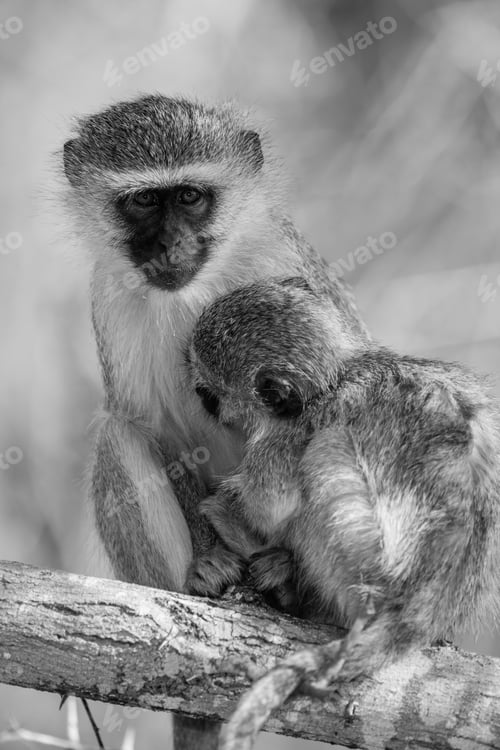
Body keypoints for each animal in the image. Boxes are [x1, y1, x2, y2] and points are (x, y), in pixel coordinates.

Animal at [61, 95, 371, 746]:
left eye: (189, 197)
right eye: (143, 202)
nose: (170, 246)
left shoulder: (285, 260)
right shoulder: (109, 298)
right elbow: (151, 428)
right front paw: (208, 555)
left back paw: (293, 584)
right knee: (118, 432)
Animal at [186, 277, 500, 682]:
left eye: (209, 394)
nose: (199, 397)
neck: (336, 376)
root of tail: (421, 611)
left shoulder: (292, 431)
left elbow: (272, 505)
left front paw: (232, 511)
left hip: (364, 570)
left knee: (323, 452)